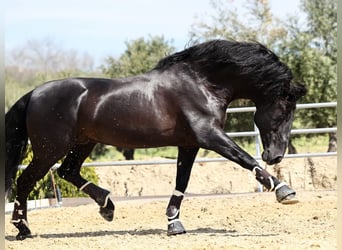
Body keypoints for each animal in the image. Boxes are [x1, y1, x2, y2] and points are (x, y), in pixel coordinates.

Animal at [5, 39, 306, 240]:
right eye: (284, 110)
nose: (275, 155)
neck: (202, 83)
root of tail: (33, 94)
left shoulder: (190, 144)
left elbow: (182, 182)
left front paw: (174, 224)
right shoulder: (210, 136)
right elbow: (244, 159)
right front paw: (285, 191)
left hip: (82, 143)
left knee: (68, 172)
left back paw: (107, 207)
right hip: (50, 149)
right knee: (26, 181)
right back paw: (23, 228)